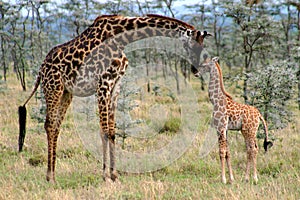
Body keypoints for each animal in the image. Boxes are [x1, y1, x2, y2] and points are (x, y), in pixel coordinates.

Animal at [18, 14, 211, 183]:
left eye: (203, 48)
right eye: (192, 45)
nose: (196, 71)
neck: (123, 37)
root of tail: (41, 68)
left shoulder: (116, 85)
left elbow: (112, 131)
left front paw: (114, 174)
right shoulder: (103, 84)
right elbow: (105, 131)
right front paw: (106, 176)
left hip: (66, 92)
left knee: (56, 126)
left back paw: (53, 174)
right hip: (53, 88)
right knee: (49, 125)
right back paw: (49, 176)